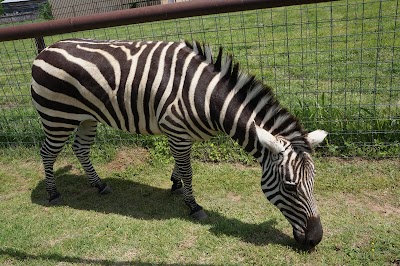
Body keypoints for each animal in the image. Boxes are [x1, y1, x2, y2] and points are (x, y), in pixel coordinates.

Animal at [32, 38, 328, 248]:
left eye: (314, 183)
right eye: (289, 187)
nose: (315, 239)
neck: (207, 97)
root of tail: (45, 50)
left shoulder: (183, 134)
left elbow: (180, 166)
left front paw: (176, 184)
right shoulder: (177, 131)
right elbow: (188, 170)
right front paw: (193, 205)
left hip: (86, 117)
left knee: (80, 148)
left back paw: (99, 185)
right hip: (57, 116)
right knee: (47, 152)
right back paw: (53, 193)